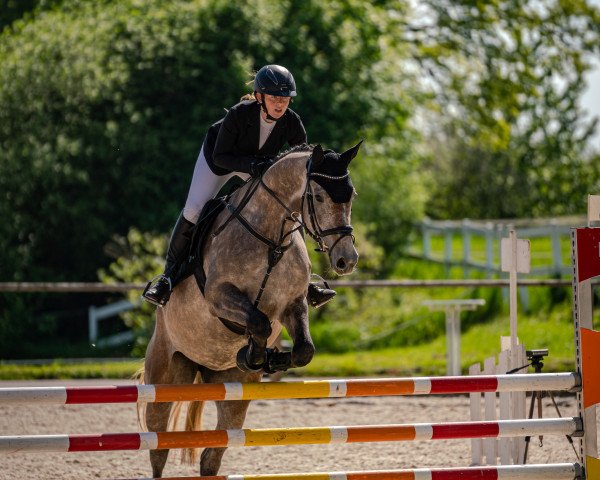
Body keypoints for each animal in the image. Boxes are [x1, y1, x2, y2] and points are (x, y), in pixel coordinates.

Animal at [141, 142, 360, 476]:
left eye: (351, 195)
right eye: (319, 197)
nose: (346, 260)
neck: (271, 239)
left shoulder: (293, 304)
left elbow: (303, 349)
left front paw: (273, 358)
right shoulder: (219, 297)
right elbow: (258, 321)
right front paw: (255, 354)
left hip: (232, 394)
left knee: (211, 456)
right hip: (164, 378)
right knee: (158, 449)